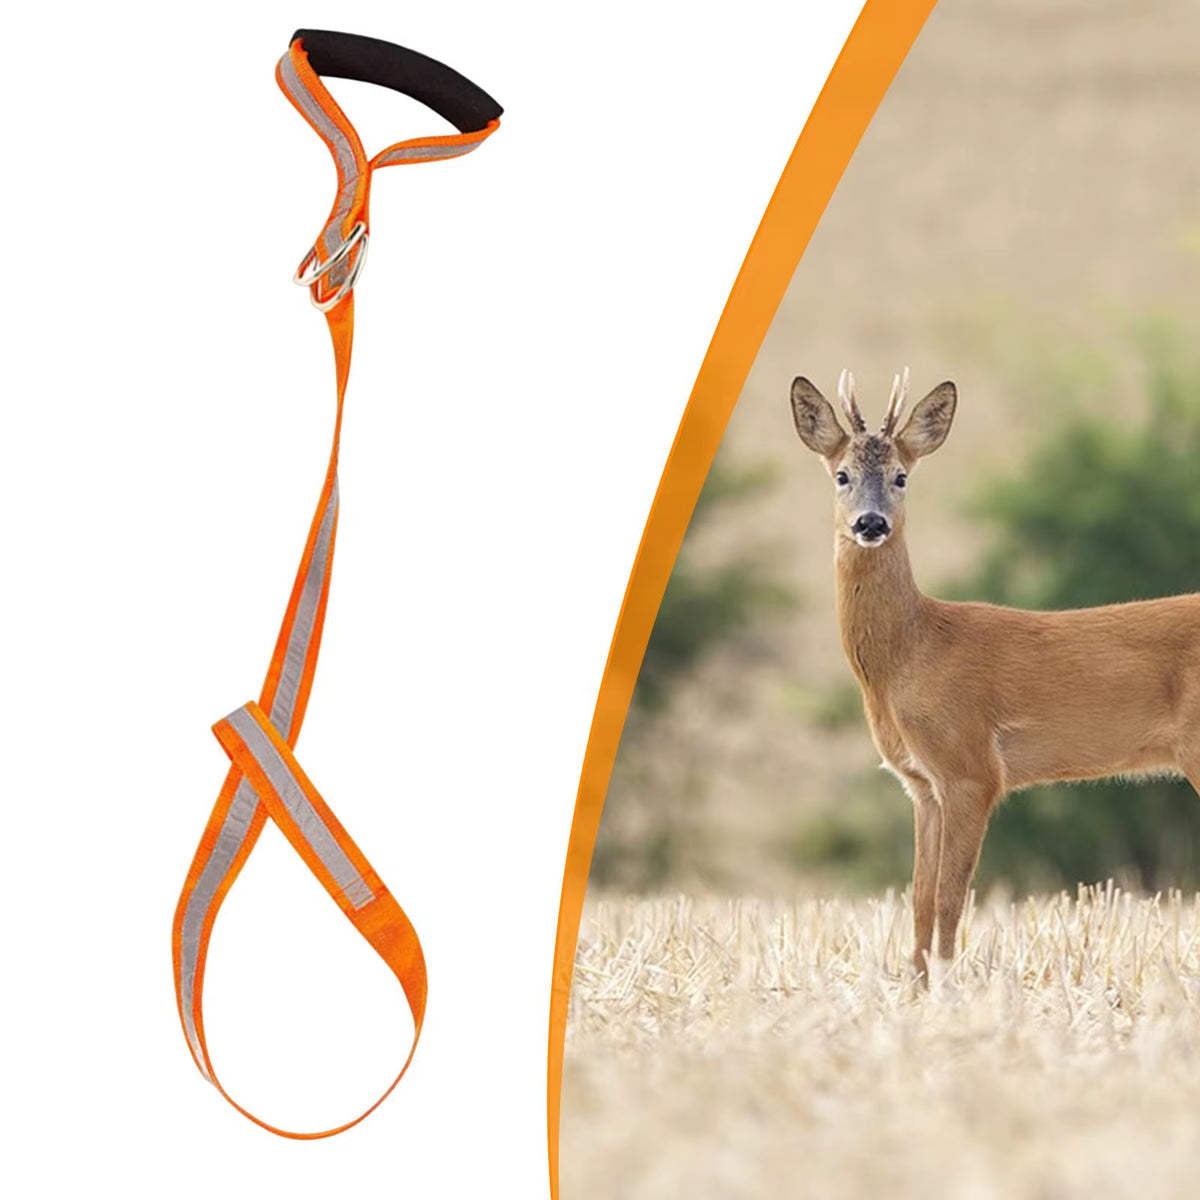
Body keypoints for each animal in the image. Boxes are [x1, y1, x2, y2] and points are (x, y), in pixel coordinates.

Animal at [789, 368, 1200, 977]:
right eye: (841, 475)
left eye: (901, 477)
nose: (871, 522)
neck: (912, 654)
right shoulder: (922, 784)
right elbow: (918, 898)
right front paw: (915, 986)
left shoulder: (971, 767)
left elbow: (950, 899)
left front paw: (949, 984)